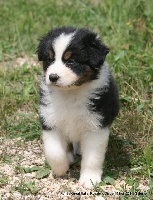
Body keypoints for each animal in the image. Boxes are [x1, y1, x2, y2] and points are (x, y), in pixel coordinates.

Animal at [37, 27, 119, 189]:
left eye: (71, 61)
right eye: (49, 59)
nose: (53, 77)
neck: (70, 93)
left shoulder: (96, 126)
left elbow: (93, 157)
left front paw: (89, 179)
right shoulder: (50, 121)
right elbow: (54, 152)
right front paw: (60, 169)